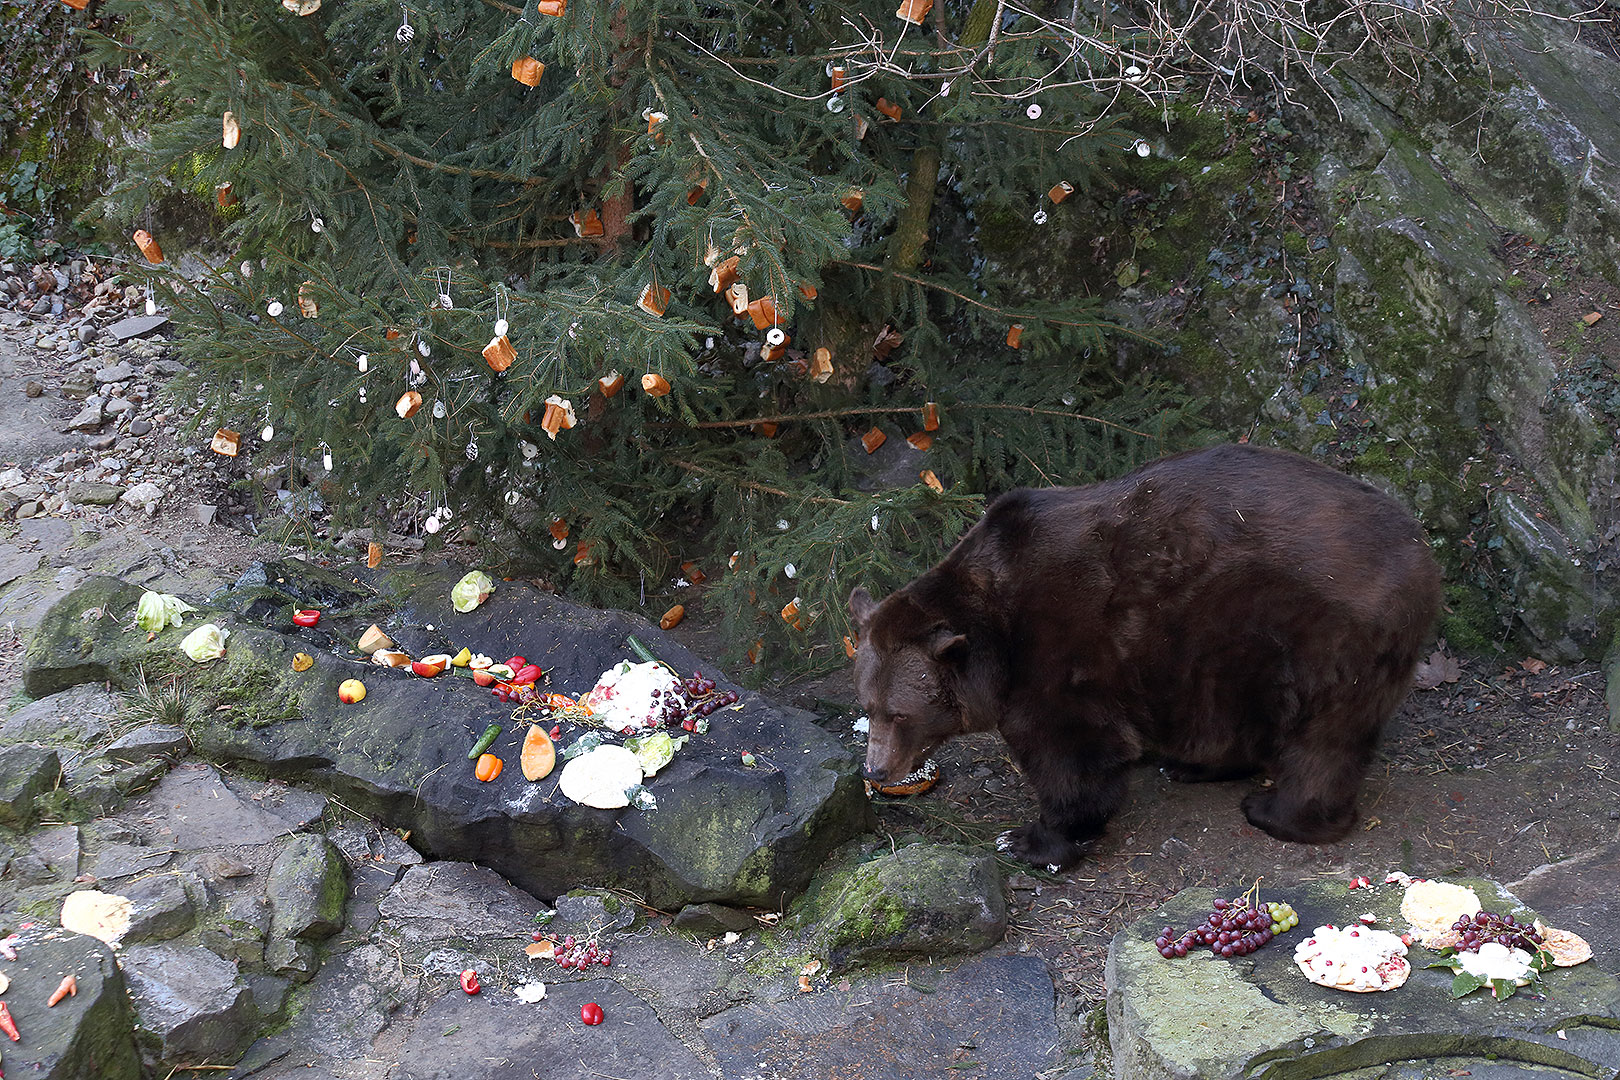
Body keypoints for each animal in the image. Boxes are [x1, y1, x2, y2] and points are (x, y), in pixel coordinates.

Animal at [855, 440, 1438, 867]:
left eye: (900, 713)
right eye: (869, 707)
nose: (877, 769)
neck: (994, 626)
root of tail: (1420, 549)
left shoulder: (1056, 644)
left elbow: (1072, 748)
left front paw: (1032, 838)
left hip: (1322, 633)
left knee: (1324, 737)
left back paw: (1278, 812)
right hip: (1227, 651)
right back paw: (1192, 766)